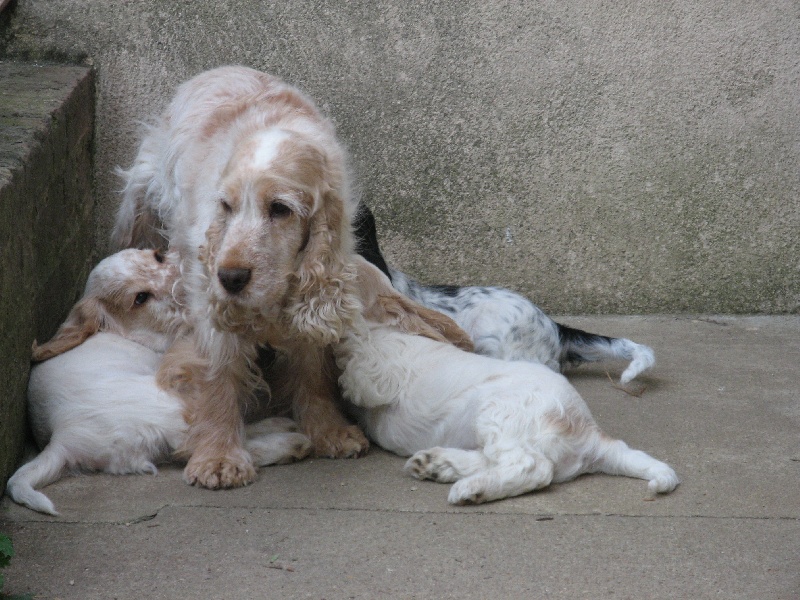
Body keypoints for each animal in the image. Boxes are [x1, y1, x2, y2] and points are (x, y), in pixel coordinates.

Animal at [7, 248, 310, 516]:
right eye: (141, 298)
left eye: (159, 257)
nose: (188, 278)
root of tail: (63, 437)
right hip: (170, 405)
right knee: (211, 441)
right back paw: (291, 442)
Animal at [334, 255, 680, 504]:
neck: (381, 327)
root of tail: (591, 434)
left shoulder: (380, 372)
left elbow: (356, 369)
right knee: (496, 459)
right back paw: (437, 464)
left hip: (500, 414)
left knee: (533, 467)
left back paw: (469, 488)